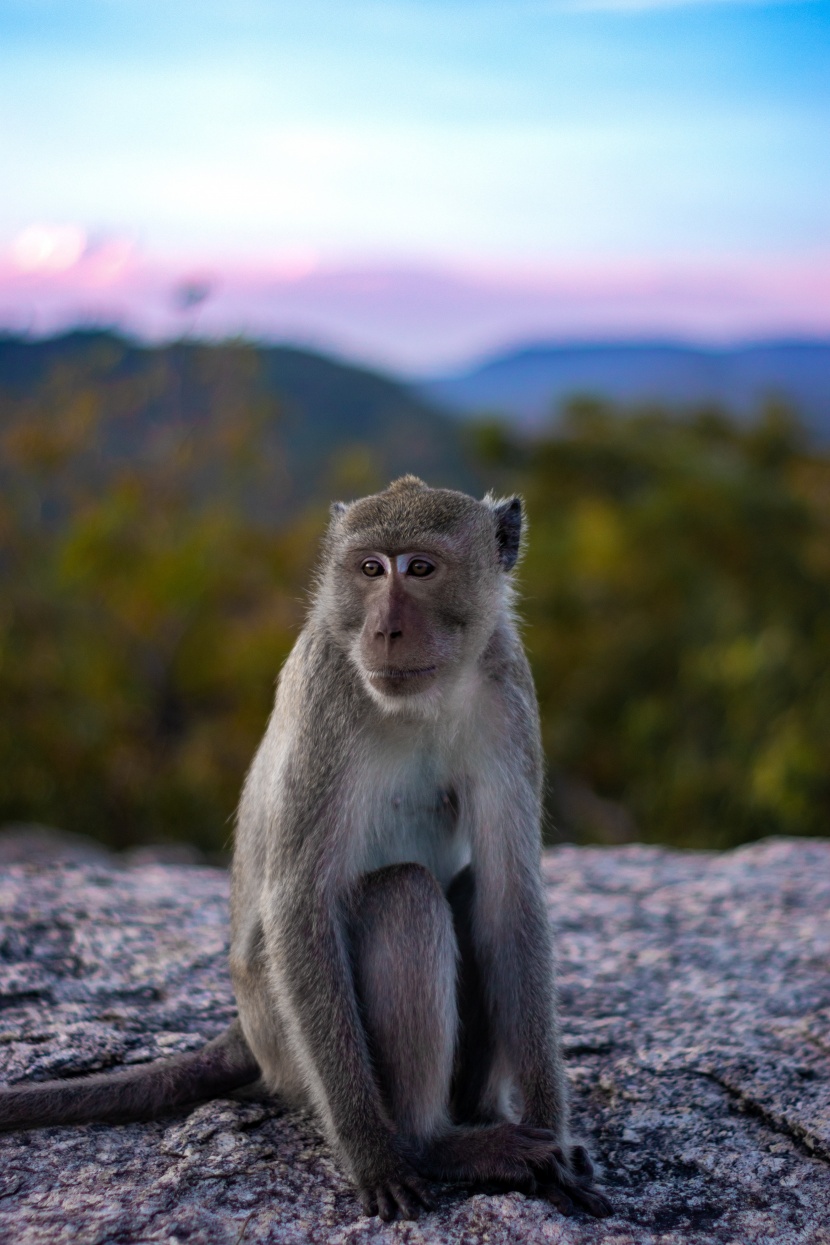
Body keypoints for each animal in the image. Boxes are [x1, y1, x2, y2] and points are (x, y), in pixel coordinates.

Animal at [0, 478, 609, 1225]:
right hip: (286, 1036)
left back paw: (480, 1116)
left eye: (420, 568)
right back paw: (435, 1143)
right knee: (404, 894)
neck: (421, 702)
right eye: (371, 569)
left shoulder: (506, 687)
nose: (384, 629)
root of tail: (246, 1029)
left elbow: (509, 896)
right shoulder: (328, 690)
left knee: (463, 889)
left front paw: (557, 1138)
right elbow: (299, 905)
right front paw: (373, 1153)